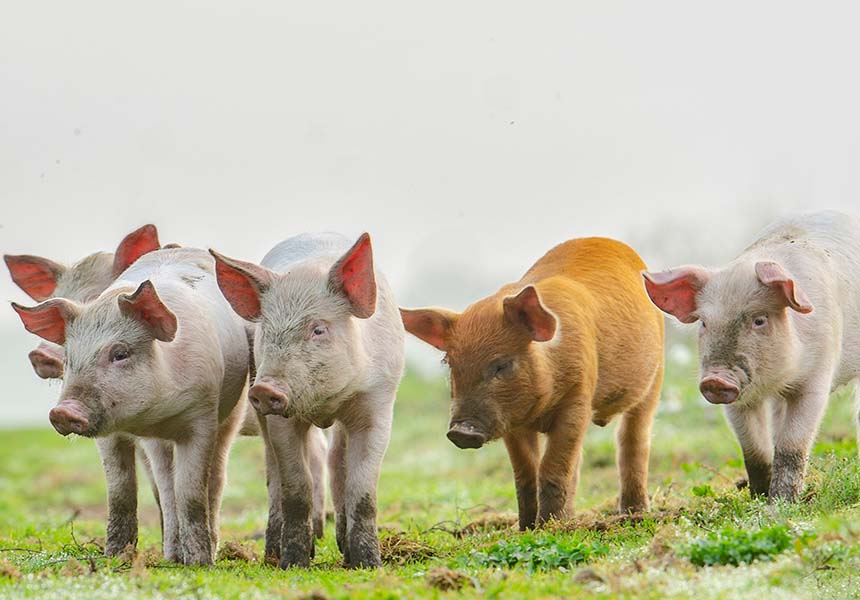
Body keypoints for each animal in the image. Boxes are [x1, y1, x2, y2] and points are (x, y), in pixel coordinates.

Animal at [12, 246, 249, 564]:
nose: (63, 411)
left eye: (120, 353)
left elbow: (191, 493)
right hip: (158, 445)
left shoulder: (203, 415)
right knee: (165, 486)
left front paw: (201, 564)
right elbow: (121, 493)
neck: (156, 414)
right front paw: (115, 557)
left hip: (232, 412)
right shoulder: (113, 436)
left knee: (215, 479)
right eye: (69, 359)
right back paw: (172, 557)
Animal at [211, 233, 406, 568]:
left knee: (336, 461)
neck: (324, 404)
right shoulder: (279, 420)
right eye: (267, 330)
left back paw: (344, 550)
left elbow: (363, 491)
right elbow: (296, 488)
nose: (264, 389)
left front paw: (367, 565)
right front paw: (294, 564)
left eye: (318, 329)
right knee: (274, 474)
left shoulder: (377, 402)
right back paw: (273, 556)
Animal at [404, 239, 664, 528]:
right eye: (450, 364)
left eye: (501, 365)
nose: (461, 431)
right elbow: (526, 473)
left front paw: (548, 527)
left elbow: (552, 468)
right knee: (579, 460)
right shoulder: (511, 421)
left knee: (633, 439)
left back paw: (634, 514)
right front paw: (527, 527)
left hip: (656, 376)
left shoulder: (578, 398)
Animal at [644, 211, 860, 502]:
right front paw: (758, 496)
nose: (715, 380)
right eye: (704, 323)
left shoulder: (817, 375)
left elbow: (792, 444)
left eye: (759, 320)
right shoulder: (737, 400)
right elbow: (753, 449)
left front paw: (781, 502)